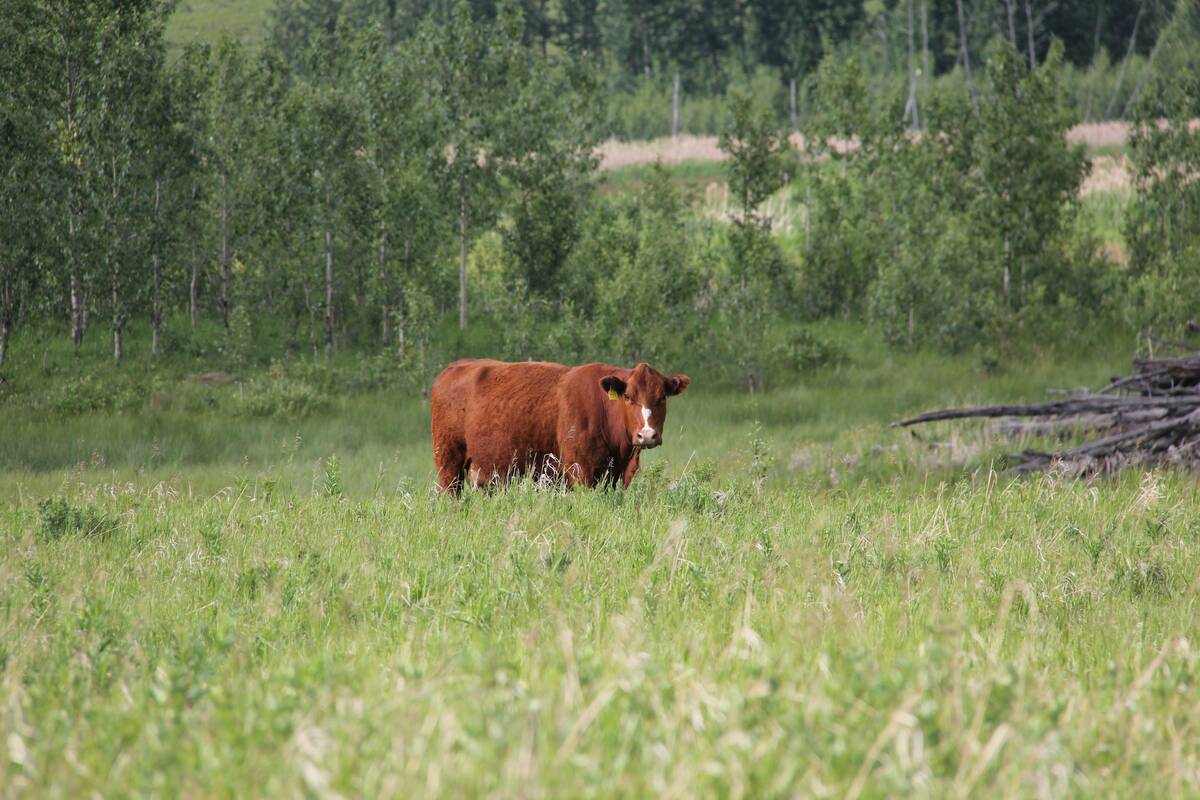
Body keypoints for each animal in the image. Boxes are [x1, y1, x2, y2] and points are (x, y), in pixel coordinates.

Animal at [430, 359, 690, 493]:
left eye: (662, 397)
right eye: (627, 397)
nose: (647, 435)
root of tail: (458, 365)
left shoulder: (614, 475)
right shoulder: (580, 471)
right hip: (448, 462)